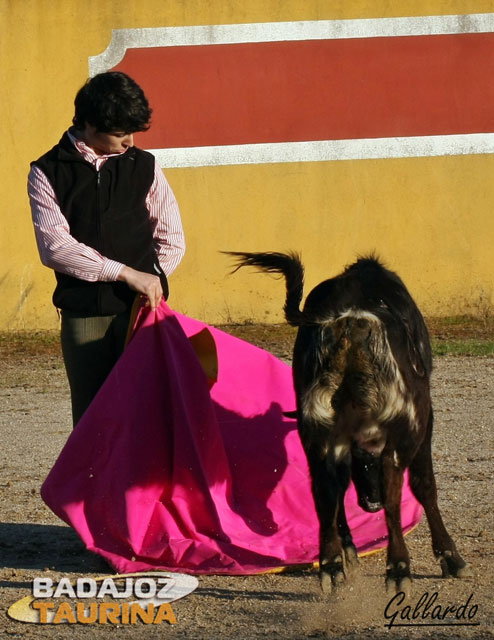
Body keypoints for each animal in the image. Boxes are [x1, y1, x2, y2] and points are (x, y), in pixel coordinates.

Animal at [228, 252, 470, 592]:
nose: (371, 504)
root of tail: (348, 323)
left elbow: (337, 488)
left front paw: (347, 552)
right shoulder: (423, 420)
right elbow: (424, 485)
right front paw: (449, 557)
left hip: (316, 429)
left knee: (326, 488)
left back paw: (331, 565)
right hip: (405, 423)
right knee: (393, 491)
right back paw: (398, 569)